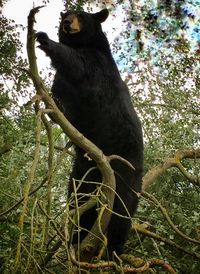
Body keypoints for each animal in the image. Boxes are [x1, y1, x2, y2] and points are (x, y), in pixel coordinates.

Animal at [36, 8, 144, 255]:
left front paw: (45, 39)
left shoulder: (98, 66)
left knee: (122, 211)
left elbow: (78, 64)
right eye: (65, 14)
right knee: (79, 200)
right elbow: (61, 97)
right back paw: (77, 236)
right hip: (82, 173)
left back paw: (113, 248)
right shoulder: (63, 83)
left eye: (81, 16)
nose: (66, 23)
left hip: (126, 172)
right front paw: (55, 104)